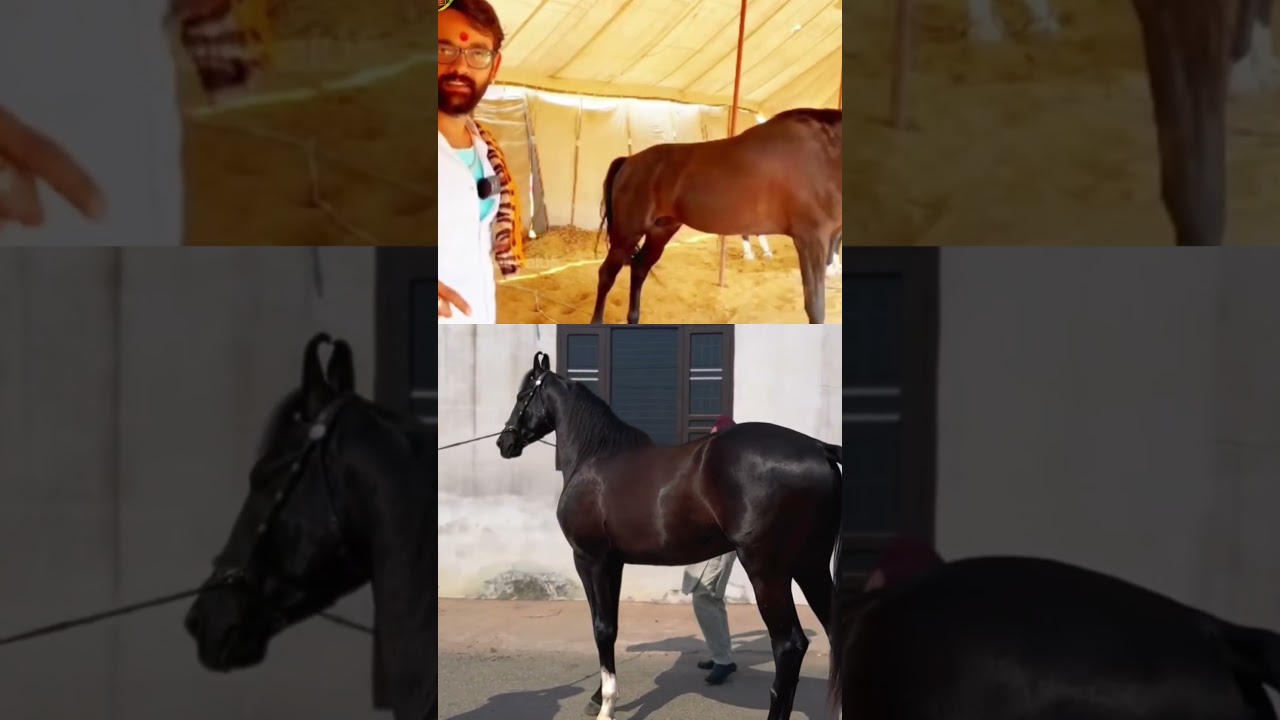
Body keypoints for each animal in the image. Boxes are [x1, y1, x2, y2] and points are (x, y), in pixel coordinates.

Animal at [496, 352, 843, 720]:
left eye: (522, 396)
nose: (504, 442)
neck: (594, 457)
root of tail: (819, 448)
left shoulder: (590, 559)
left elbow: (601, 628)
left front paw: (606, 705)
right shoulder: (614, 563)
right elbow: (612, 626)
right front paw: (598, 696)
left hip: (768, 570)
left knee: (789, 644)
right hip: (811, 565)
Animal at [592, 108, 841, 325]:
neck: (823, 155)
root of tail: (629, 161)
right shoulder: (811, 240)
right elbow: (815, 308)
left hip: (660, 231)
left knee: (639, 269)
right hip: (627, 233)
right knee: (607, 274)